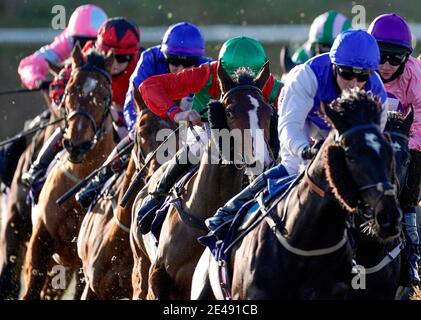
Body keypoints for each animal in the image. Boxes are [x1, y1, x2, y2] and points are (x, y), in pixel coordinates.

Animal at [20, 46, 114, 298]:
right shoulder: (39, 242)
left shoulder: (82, 262)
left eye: (104, 97)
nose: (77, 145)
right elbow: (30, 291)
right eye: (70, 89)